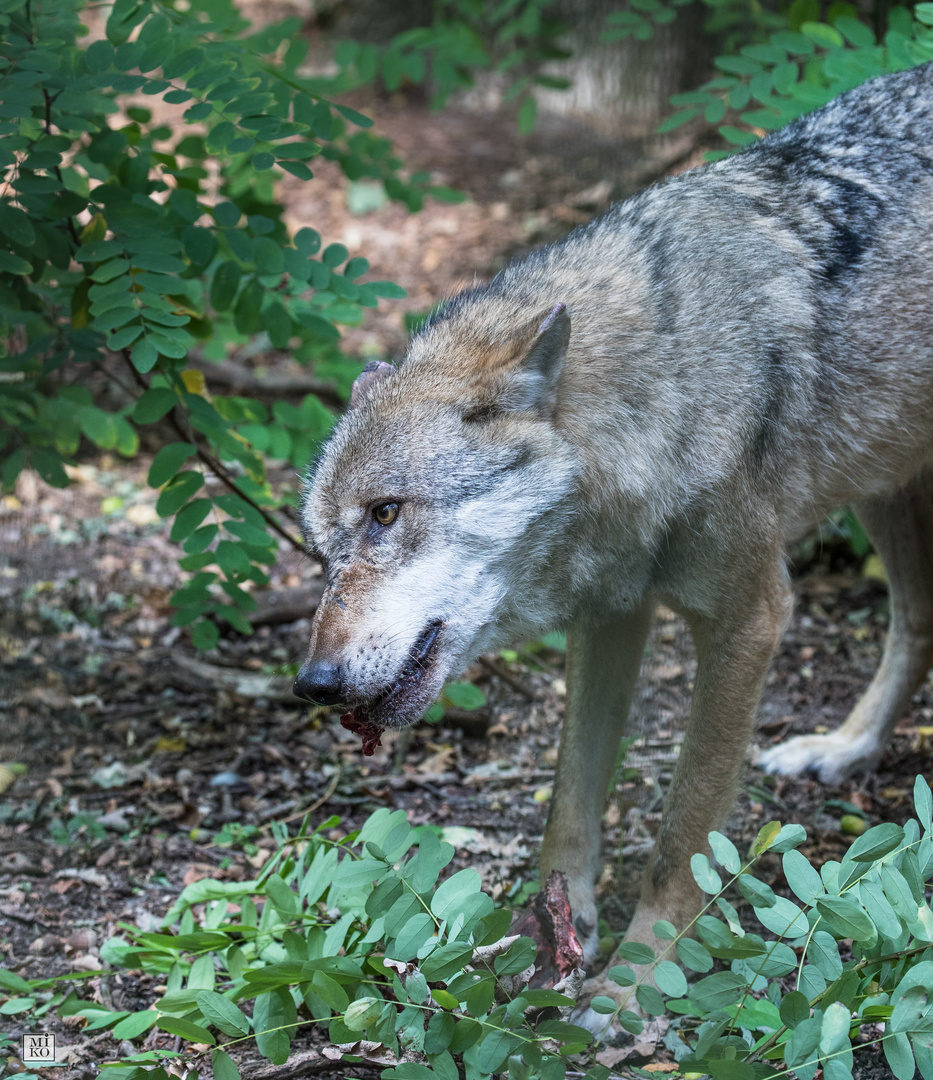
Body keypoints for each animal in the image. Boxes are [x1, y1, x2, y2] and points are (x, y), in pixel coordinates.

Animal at [295, 65, 933, 1028]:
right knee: (918, 621)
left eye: (385, 513)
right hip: (884, 492)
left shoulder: (748, 620)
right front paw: (548, 949)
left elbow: (682, 836)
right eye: (323, 547)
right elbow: (568, 810)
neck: (662, 384)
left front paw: (638, 982)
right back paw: (845, 747)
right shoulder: (610, 617)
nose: (315, 683)